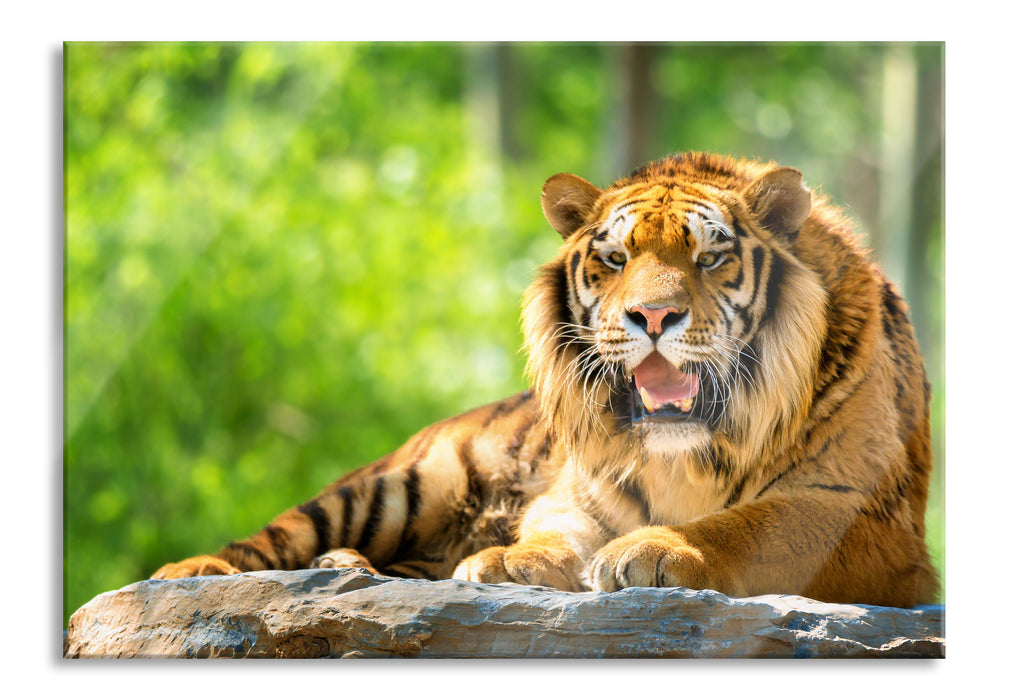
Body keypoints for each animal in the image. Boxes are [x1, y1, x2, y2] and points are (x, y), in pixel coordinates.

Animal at [152, 152, 938, 608]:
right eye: (616, 259)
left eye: (709, 258)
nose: (655, 315)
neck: (689, 450)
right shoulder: (578, 489)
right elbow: (556, 529)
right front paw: (510, 560)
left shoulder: (856, 512)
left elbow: (750, 524)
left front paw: (655, 550)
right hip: (398, 486)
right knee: (275, 536)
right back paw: (194, 573)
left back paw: (349, 567)